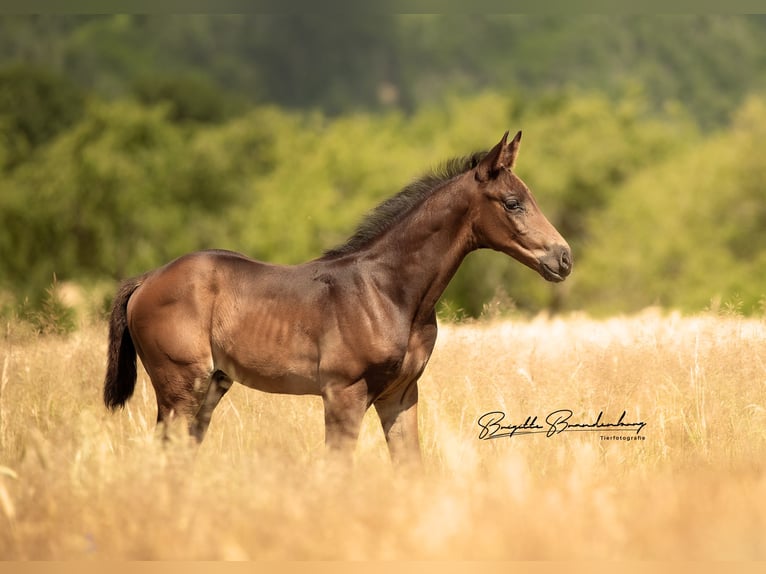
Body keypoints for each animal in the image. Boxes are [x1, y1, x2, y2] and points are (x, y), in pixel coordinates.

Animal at [103, 130, 568, 468]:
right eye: (513, 203)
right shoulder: (343, 392)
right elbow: (336, 470)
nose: (563, 258)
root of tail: (146, 280)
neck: (388, 291)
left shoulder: (401, 393)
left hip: (213, 384)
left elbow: (410, 465)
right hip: (180, 386)